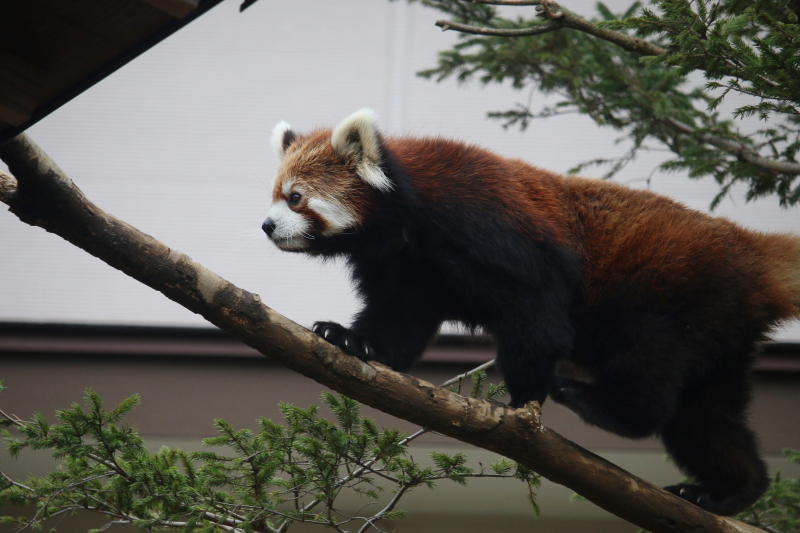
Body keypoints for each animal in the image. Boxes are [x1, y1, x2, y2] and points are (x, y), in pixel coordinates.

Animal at [262, 107, 800, 516]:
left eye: (296, 197)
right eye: (275, 195)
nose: (267, 225)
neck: (407, 220)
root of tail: (752, 254)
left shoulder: (489, 221)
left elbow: (538, 308)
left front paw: (522, 401)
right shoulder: (405, 271)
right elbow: (397, 323)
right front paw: (349, 338)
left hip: (666, 294)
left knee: (648, 367)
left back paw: (604, 405)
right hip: (718, 331)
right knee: (707, 419)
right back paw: (731, 492)